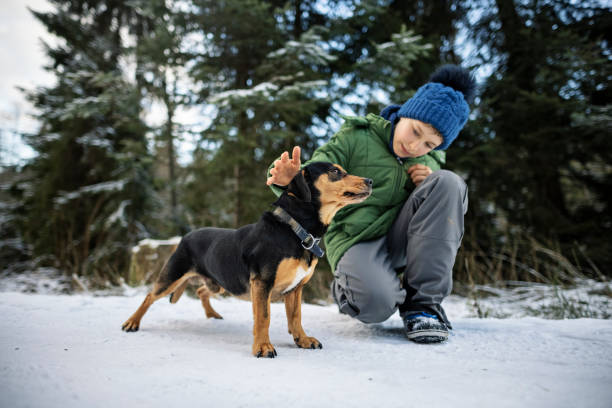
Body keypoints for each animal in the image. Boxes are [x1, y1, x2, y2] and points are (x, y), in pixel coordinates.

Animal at [121, 162, 370, 356]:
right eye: (335, 171)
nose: (370, 180)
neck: (296, 229)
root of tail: (187, 236)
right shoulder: (262, 282)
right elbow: (263, 317)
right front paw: (262, 347)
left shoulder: (296, 288)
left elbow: (295, 317)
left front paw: (303, 340)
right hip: (173, 274)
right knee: (149, 296)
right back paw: (132, 322)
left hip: (220, 283)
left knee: (202, 291)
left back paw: (212, 315)